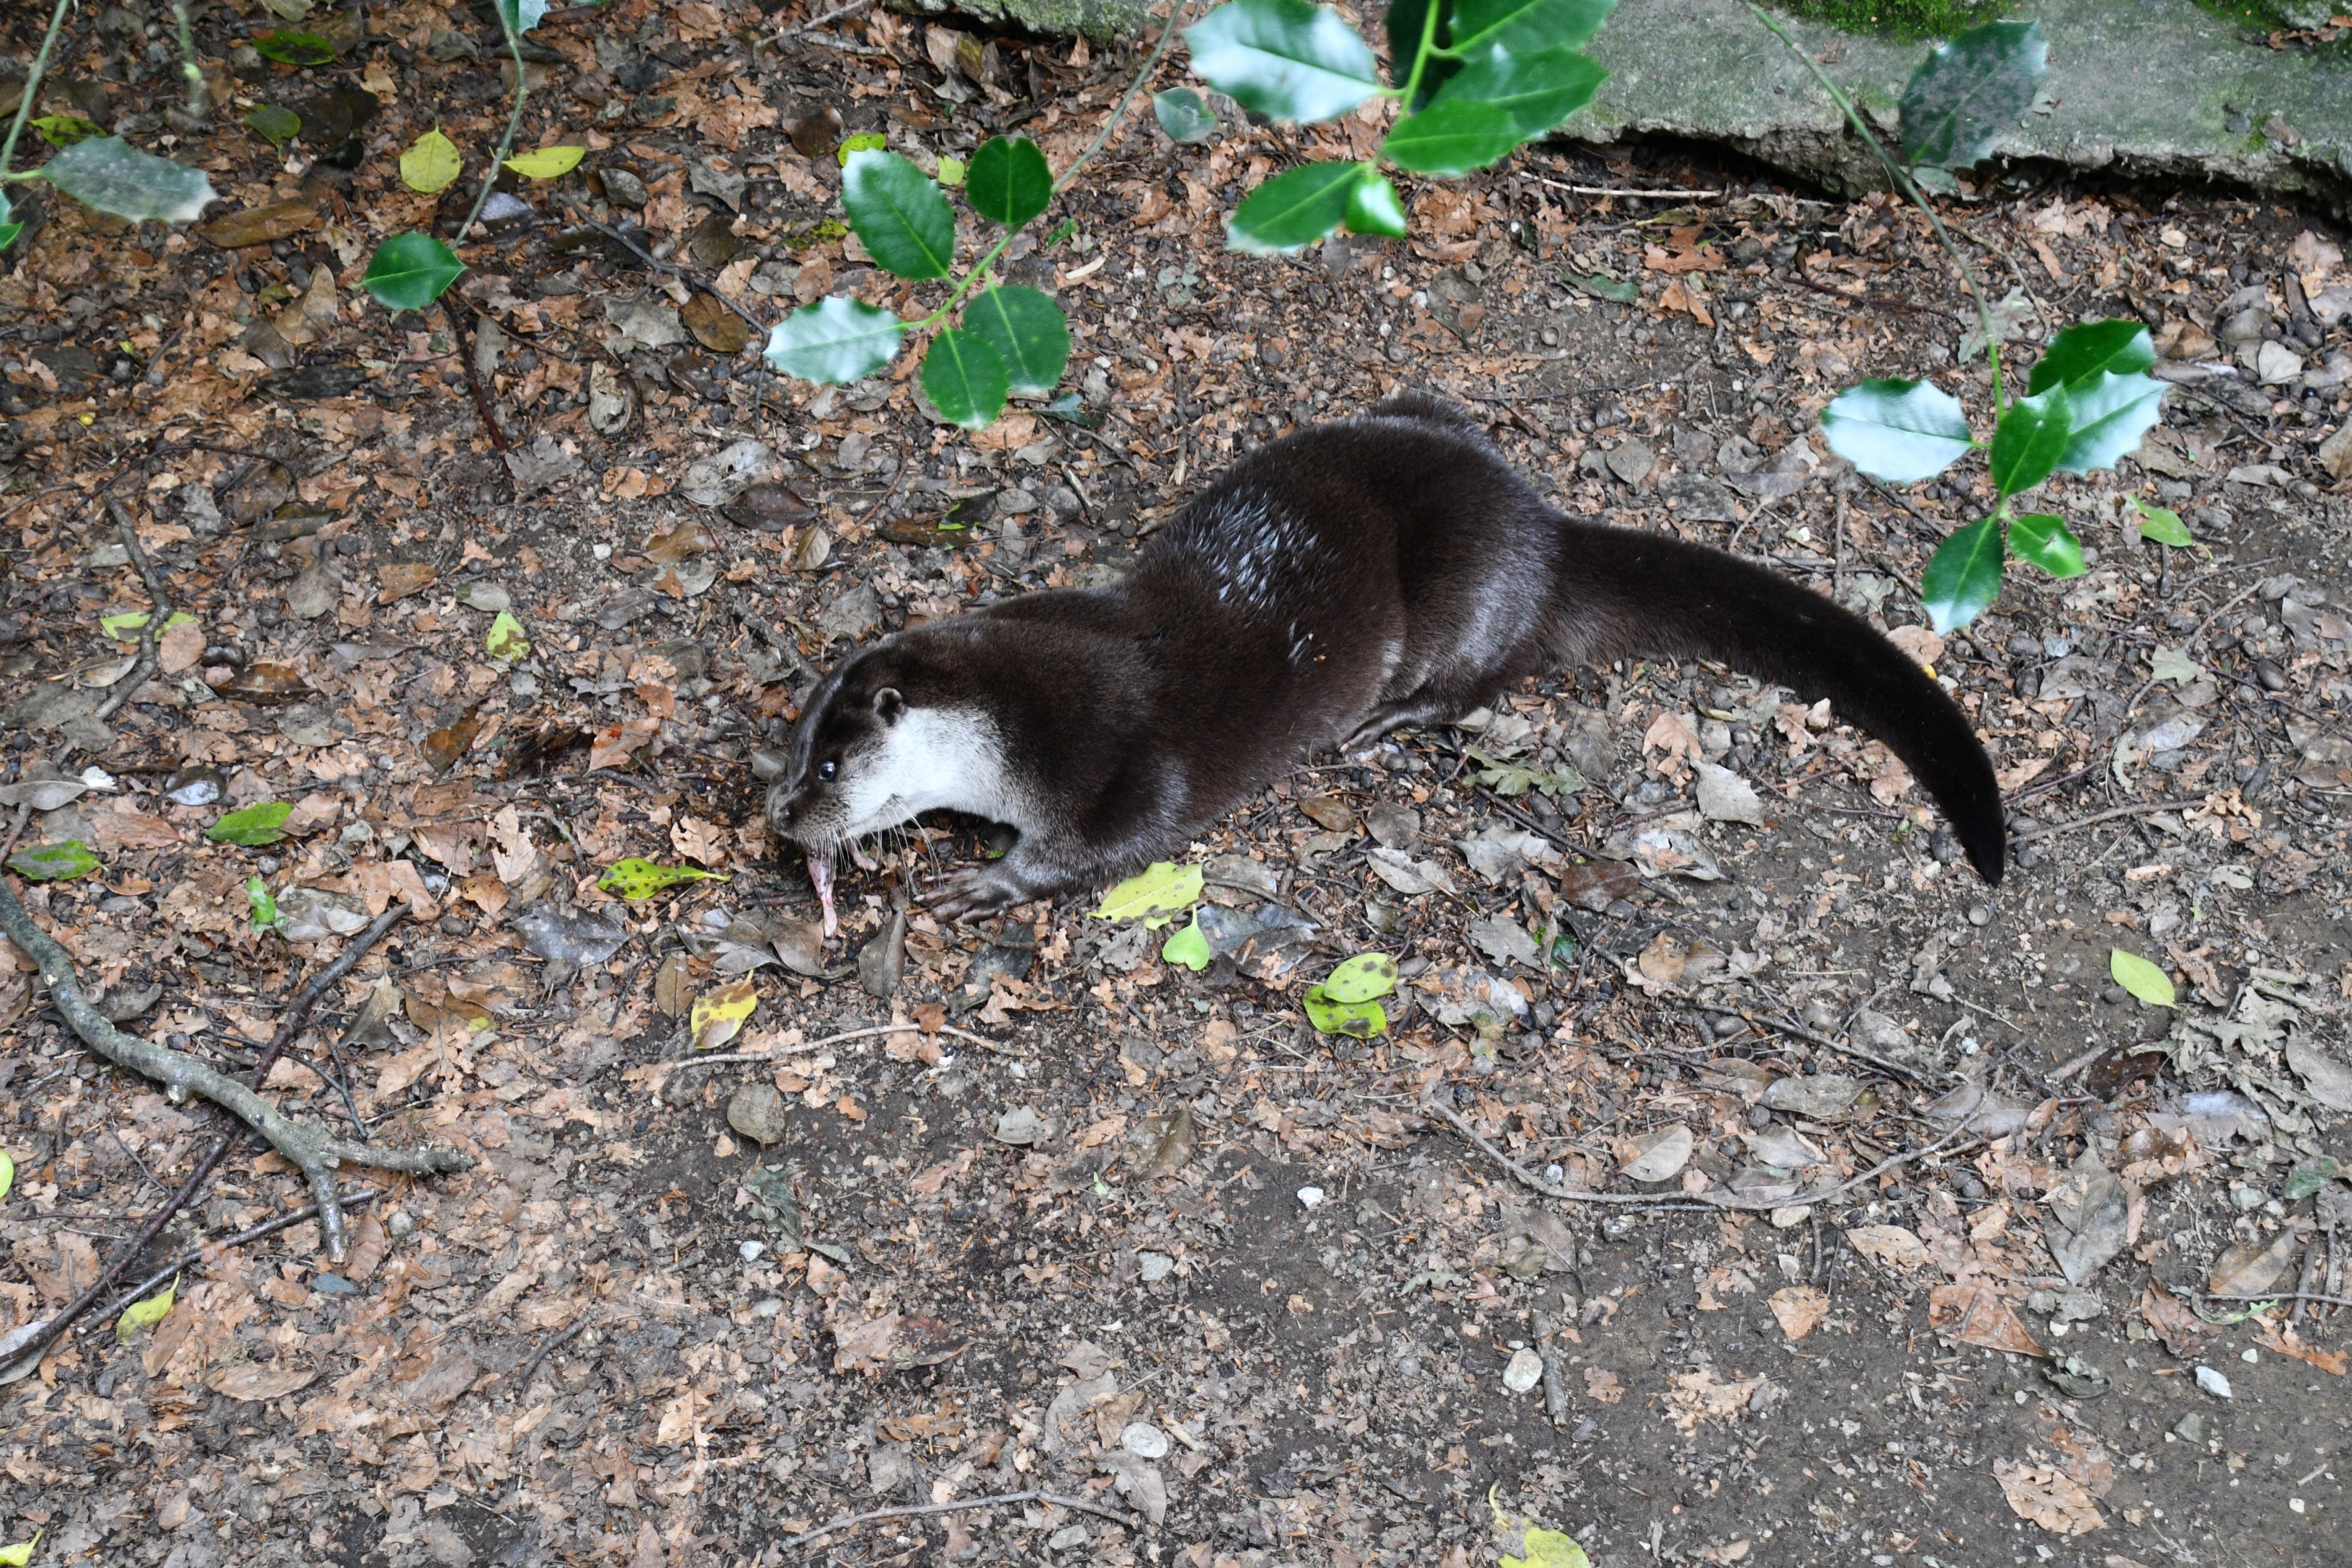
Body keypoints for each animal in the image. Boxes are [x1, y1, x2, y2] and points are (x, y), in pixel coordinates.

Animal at [768, 394, 2005, 927]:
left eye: (830, 768)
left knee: (1481, 682)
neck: (1023, 709)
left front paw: (989, 880)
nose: (783, 819)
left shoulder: (1117, 755)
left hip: (1464, 589)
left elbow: (1116, 840)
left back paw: (1389, 722)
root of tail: (1543, 527)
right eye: (790, 752)